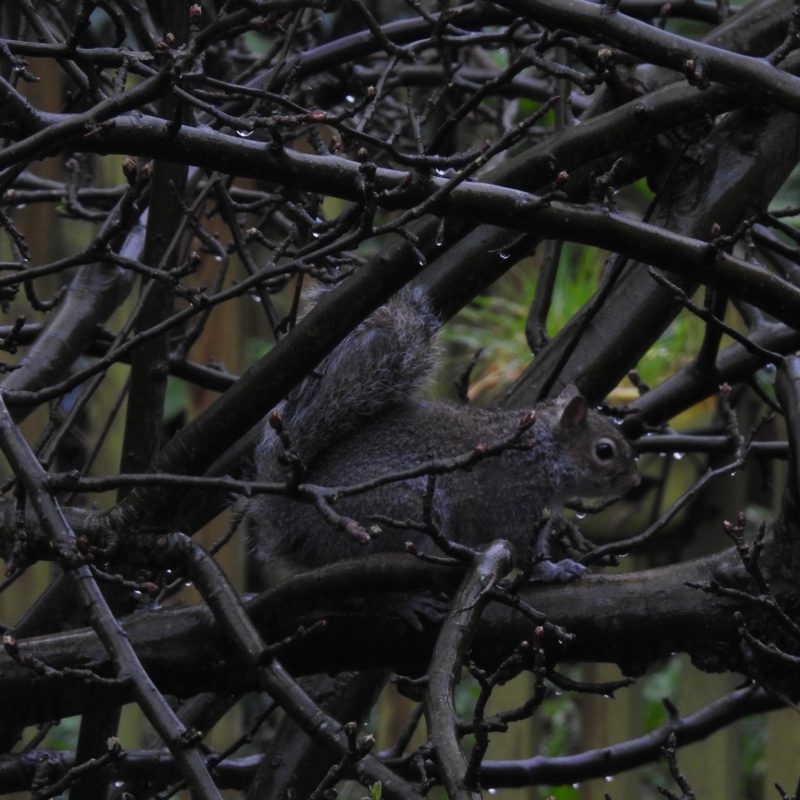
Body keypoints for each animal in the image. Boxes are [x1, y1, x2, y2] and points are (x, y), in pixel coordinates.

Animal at [247, 288, 640, 580]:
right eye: (604, 451)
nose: (633, 481)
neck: (543, 451)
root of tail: (290, 522)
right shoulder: (511, 499)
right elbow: (520, 546)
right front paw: (555, 570)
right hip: (398, 511)